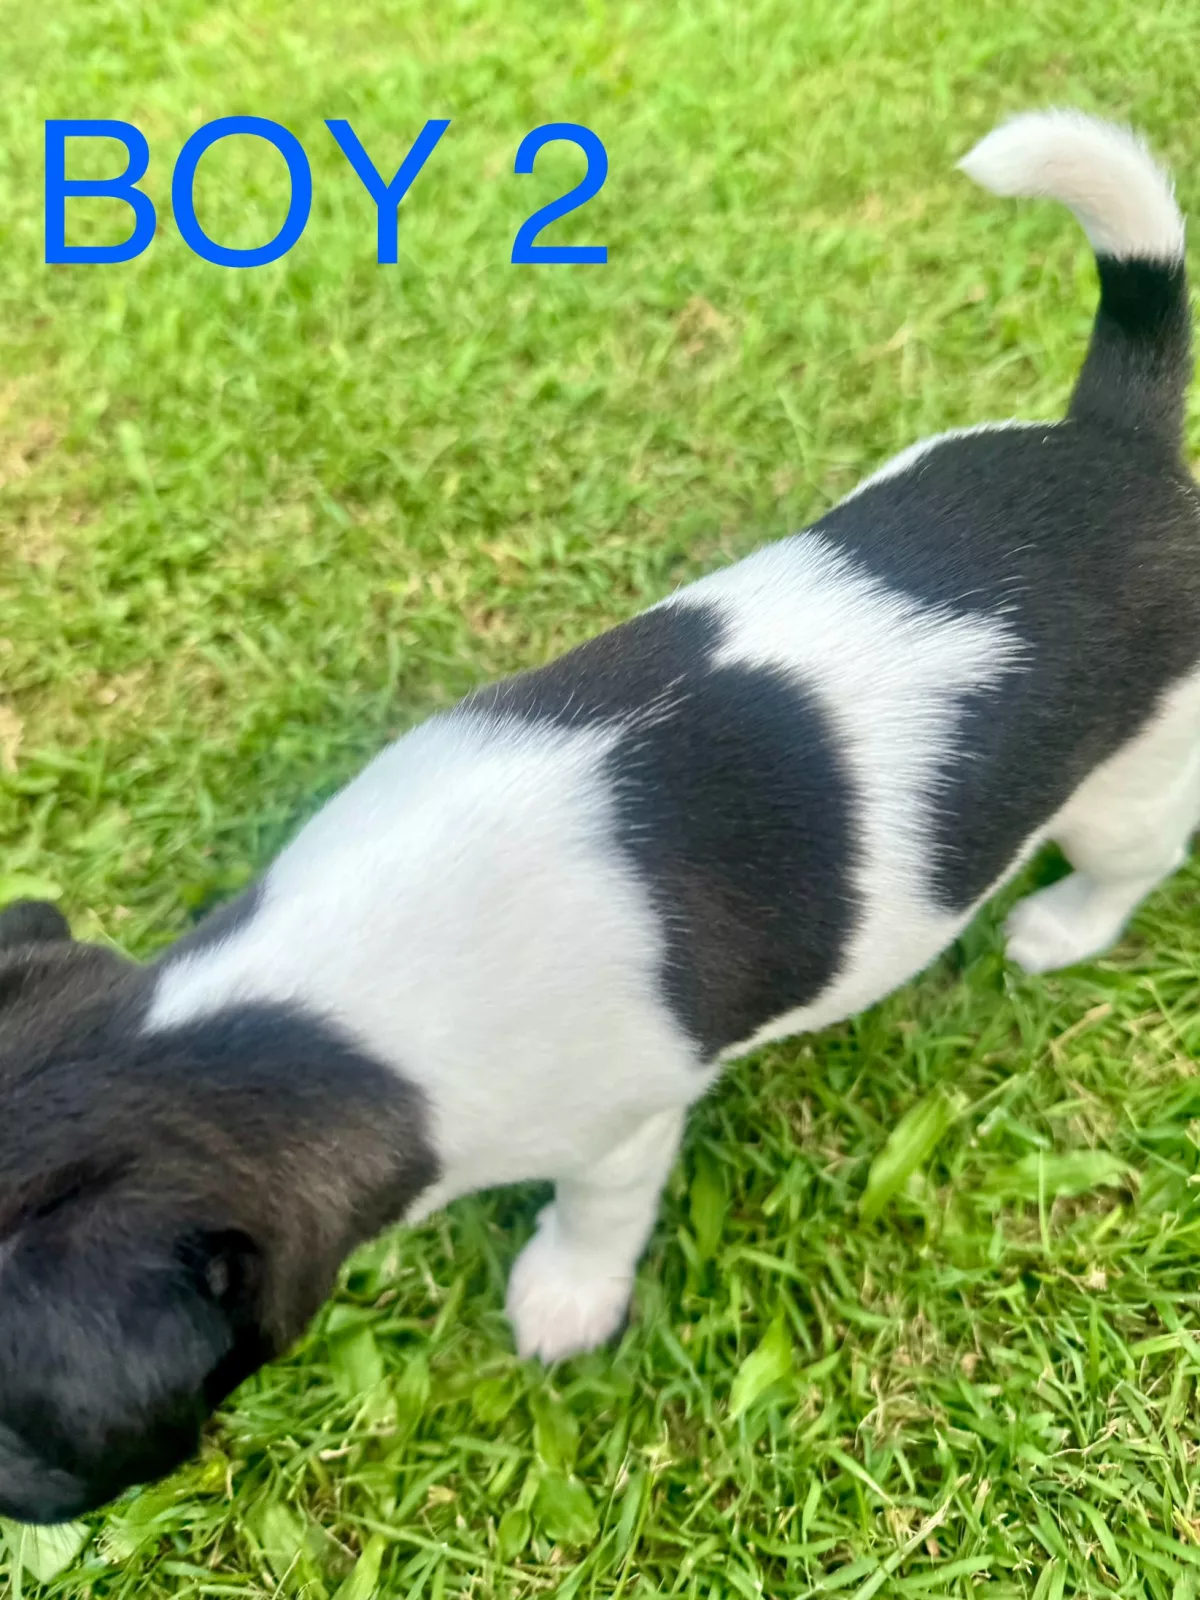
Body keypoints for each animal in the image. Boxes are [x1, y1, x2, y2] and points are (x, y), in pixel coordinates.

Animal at [0, 108, 1196, 1523]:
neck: (297, 1005)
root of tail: (1120, 447)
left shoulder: (620, 1132)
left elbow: (596, 1217)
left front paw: (564, 1298)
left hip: (1132, 776)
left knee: (1137, 855)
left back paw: (1064, 927)